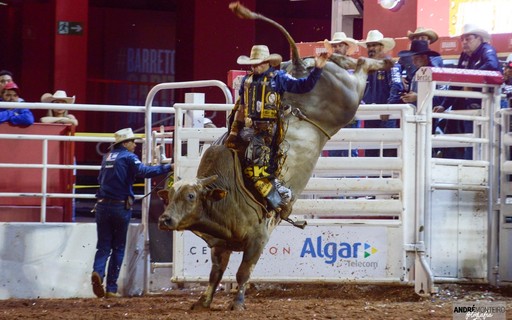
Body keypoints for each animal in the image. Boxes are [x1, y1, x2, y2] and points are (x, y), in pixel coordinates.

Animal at [158, 1, 390, 312]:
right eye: (170, 196)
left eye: (191, 196)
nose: (165, 220)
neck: (226, 191)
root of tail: (298, 65)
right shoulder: (219, 246)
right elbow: (215, 273)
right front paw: (204, 301)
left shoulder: (258, 239)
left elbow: (243, 272)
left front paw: (238, 303)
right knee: (347, 61)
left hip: (349, 97)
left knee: (361, 67)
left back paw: (379, 60)